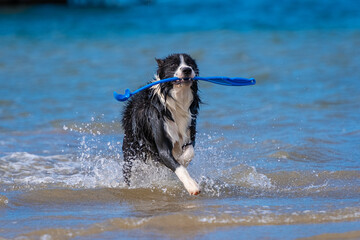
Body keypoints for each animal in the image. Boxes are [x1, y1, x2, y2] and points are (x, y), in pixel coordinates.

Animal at [122, 53, 201, 195]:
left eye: (190, 64)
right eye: (174, 65)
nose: (187, 70)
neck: (177, 100)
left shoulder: (189, 130)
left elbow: (189, 152)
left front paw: (180, 160)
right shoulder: (161, 139)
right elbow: (177, 165)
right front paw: (192, 185)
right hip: (131, 150)